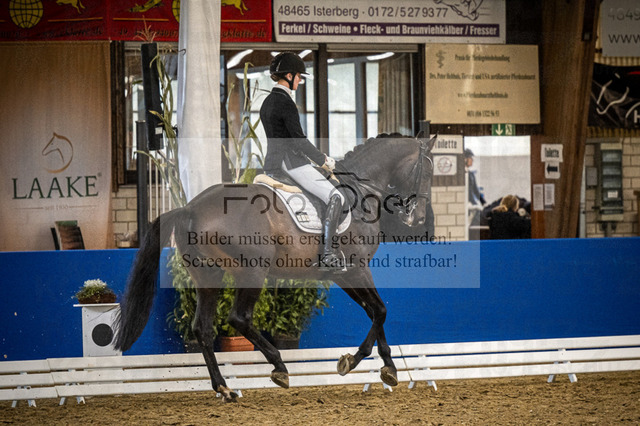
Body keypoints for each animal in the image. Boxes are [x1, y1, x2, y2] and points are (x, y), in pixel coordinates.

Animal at [115, 132, 436, 402]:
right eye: (428, 172)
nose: (418, 219)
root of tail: (190, 207)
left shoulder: (343, 274)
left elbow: (373, 312)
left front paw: (389, 368)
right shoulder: (358, 269)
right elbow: (380, 310)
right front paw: (355, 361)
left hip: (208, 274)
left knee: (203, 328)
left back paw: (225, 388)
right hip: (252, 271)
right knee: (239, 318)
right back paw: (279, 366)